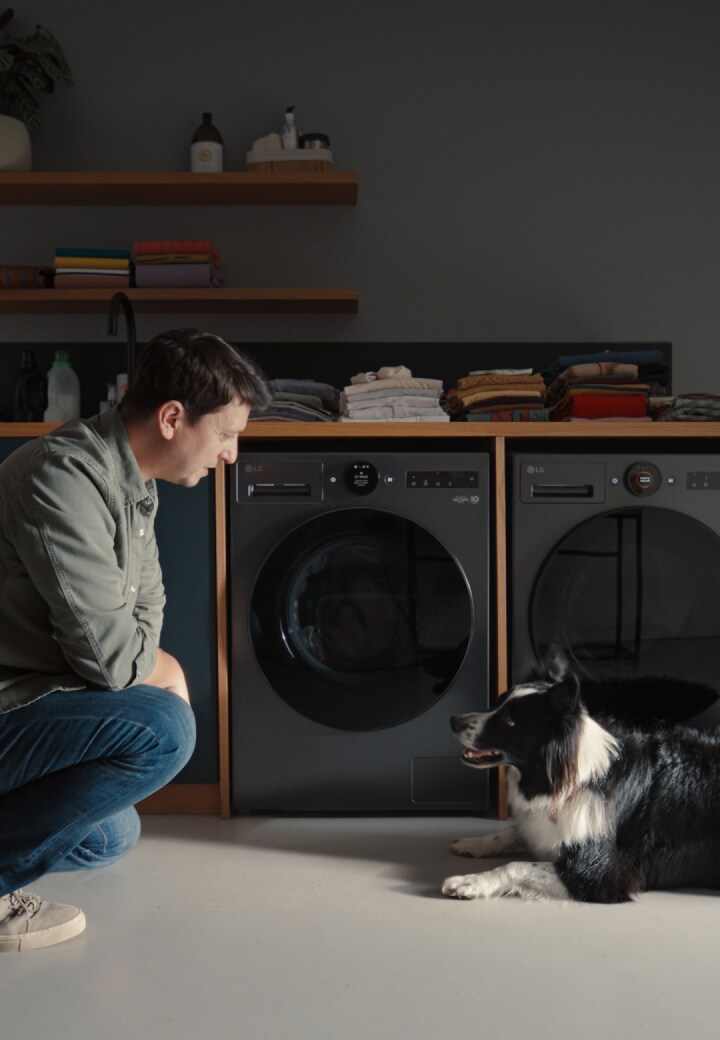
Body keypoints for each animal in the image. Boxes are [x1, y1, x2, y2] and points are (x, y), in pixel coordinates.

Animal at [441, 648, 719, 902]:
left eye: (510, 721)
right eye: (497, 704)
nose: (453, 721)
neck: (570, 781)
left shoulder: (599, 873)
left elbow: (516, 866)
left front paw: (471, 882)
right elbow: (512, 831)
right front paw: (473, 844)